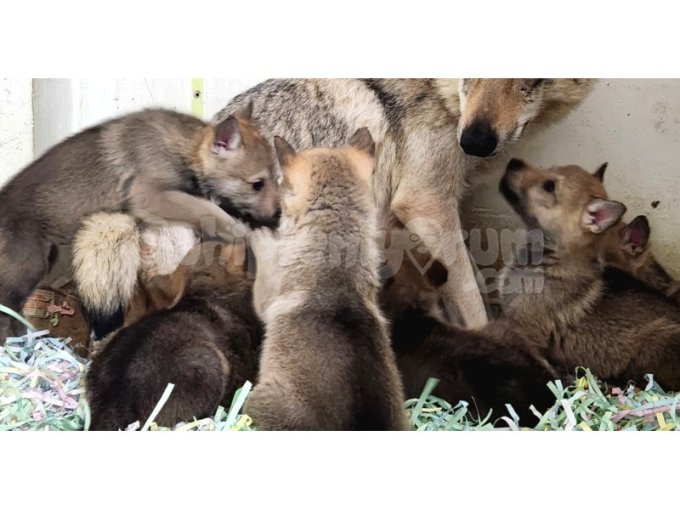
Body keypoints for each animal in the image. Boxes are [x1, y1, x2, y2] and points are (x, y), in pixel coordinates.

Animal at [0, 102, 279, 338]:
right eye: (257, 184)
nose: (277, 216)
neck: (185, 147)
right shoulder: (152, 197)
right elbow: (209, 210)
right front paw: (245, 234)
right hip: (27, 269)